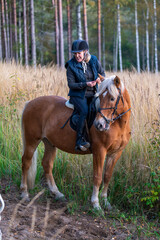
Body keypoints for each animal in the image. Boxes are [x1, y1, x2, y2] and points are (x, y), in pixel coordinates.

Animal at [20, 74, 131, 210]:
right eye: (99, 97)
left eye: (112, 98)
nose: (99, 125)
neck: (118, 125)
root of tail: (30, 103)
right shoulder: (99, 151)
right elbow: (98, 177)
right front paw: (96, 204)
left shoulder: (115, 153)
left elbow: (107, 176)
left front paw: (105, 202)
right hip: (32, 141)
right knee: (26, 163)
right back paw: (24, 193)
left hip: (49, 143)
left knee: (47, 164)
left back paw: (57, 193)